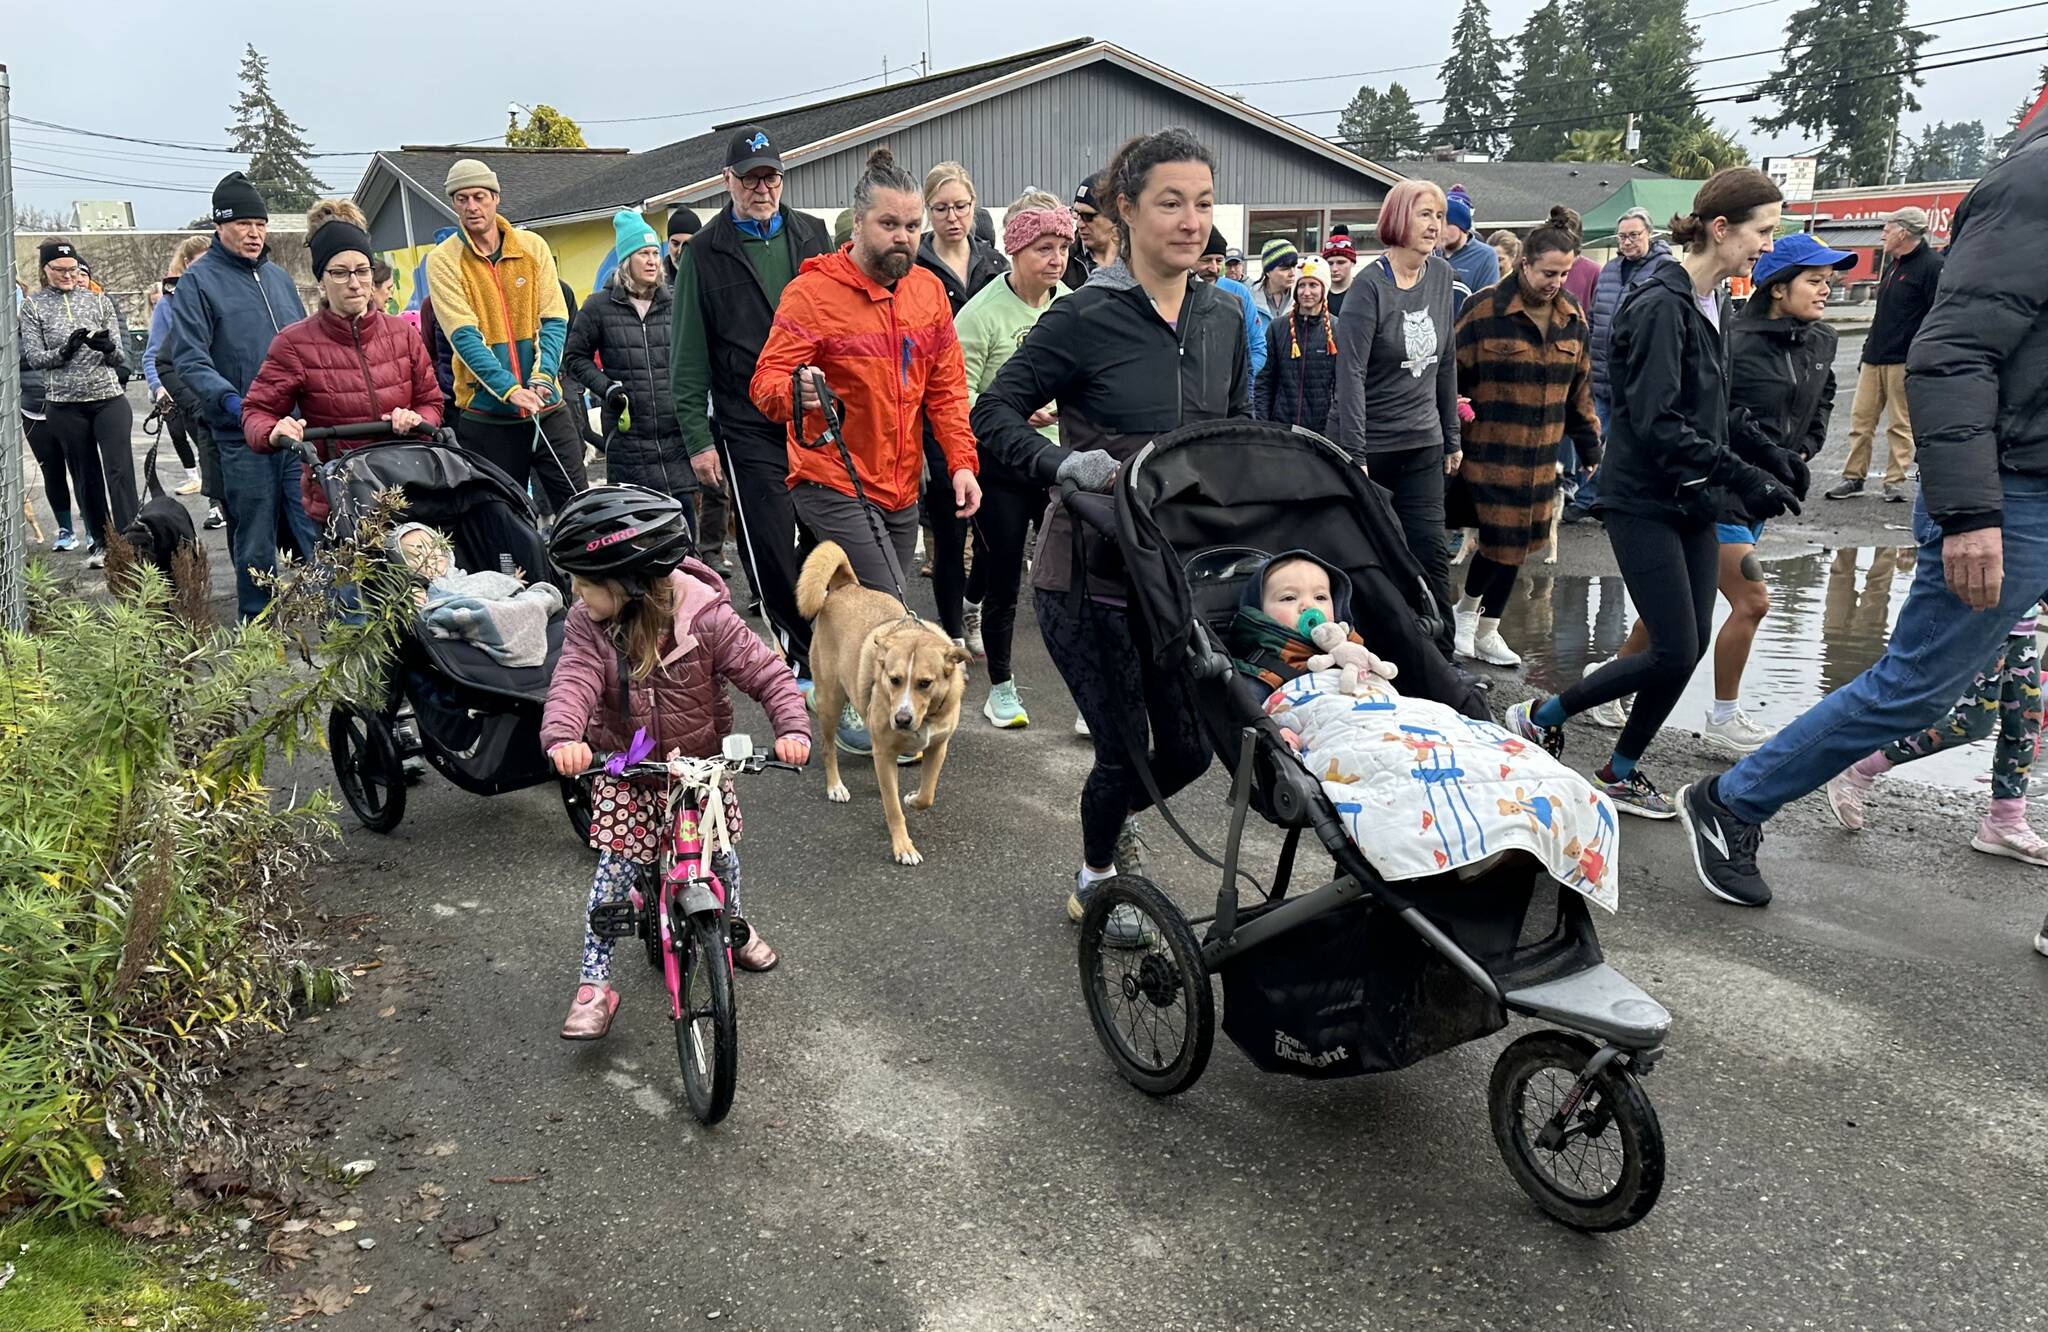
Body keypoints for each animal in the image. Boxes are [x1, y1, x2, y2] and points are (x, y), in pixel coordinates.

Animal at [790, 540, 966, 860]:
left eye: (925, 683)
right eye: (894, 680)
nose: (902, 719)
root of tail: (846, 585)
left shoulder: (938, 748)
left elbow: (927, 794)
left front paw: (912, 798)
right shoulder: (885, 749)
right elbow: (894, 810)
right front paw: (903, 846)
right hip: (831, 700)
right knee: (827, 748)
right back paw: (835, 786)